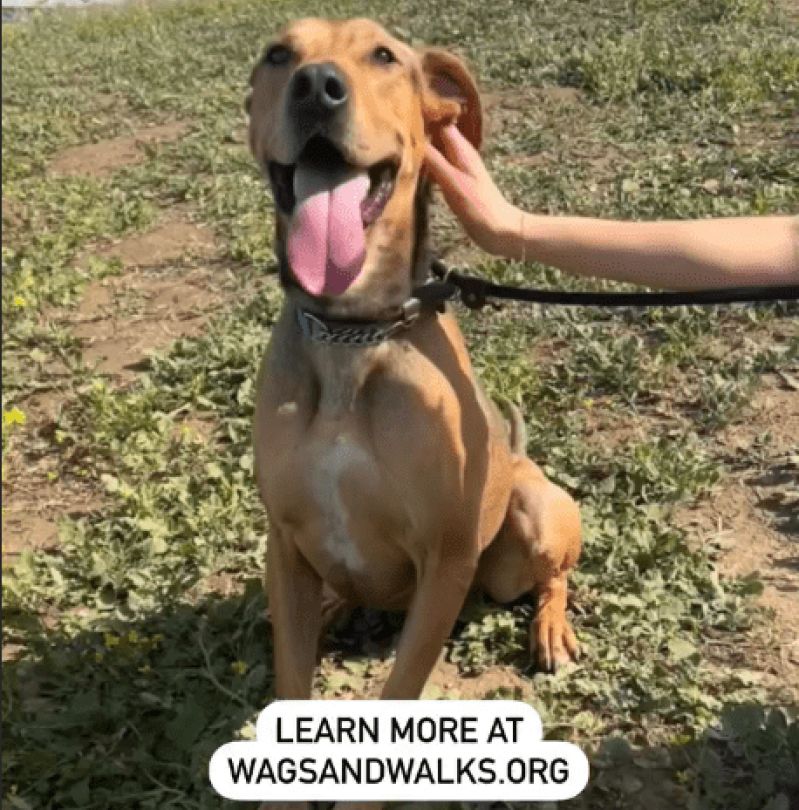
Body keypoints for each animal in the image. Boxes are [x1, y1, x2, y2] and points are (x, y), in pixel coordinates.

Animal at [247, 19, 580, 700]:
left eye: (384, 56)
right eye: (277, 54)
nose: (316, 87)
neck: (352, 333)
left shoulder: (445, 558)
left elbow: (401, 685)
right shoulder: (284, 546)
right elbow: (292, 674)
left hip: (534, 517)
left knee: (552, 578)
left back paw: (551, 627)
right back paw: (337, 607)